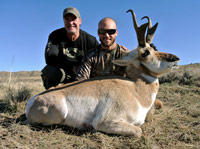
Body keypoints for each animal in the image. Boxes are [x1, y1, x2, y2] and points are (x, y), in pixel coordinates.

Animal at [25, 10, 180, 137]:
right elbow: (138, 131)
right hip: (60, 112)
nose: (175, 59)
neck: (134, 89)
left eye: (154, 48)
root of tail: (33, 100)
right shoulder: (105, 122)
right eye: (145, 53)